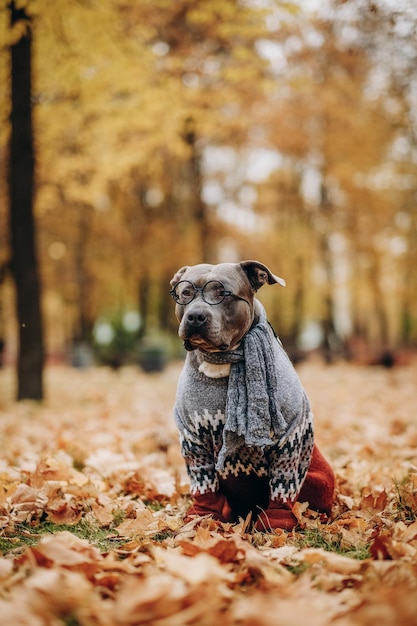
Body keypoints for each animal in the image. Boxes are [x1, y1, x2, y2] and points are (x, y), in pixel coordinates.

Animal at [170, 258, 334, 528]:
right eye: (186, 293)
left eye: (223, 293)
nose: (195, 316)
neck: (222, 361)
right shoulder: (192, 437)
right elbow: (203, 481)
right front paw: (202, 517)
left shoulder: (289, 433)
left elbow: (283, 482)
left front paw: (276, 524)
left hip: (318, 477)